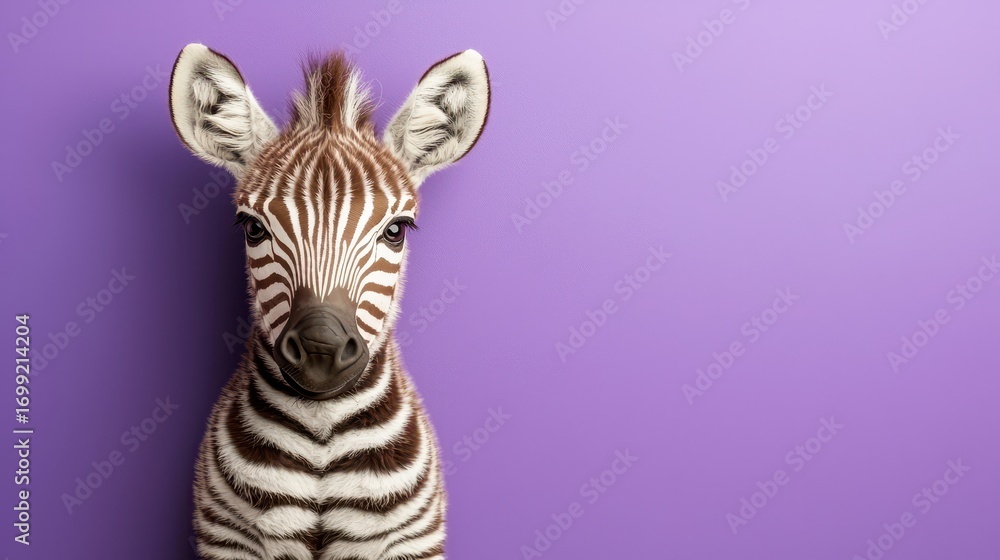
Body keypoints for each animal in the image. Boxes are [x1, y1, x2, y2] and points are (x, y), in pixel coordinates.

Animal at [168, 43, 490, 559]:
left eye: (396, 231)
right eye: (253, 228)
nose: (321, 351)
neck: (322, 431)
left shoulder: (412, 539)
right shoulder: (228, 535)